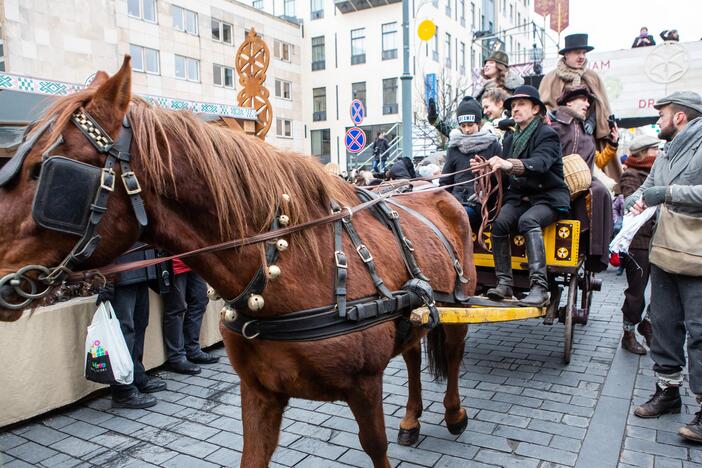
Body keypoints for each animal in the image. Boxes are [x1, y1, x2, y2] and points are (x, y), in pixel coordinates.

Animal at [0, 58, 478, 468]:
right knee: (413, 356)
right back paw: (412, 418)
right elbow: (253, 454)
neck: (291, 264)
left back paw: (455, 415)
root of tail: (439, 191)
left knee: (453, 356)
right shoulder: (259, 392)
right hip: (417, 312)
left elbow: (375, 446)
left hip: (461, 304)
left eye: (45, 171)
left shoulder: (364, 385)